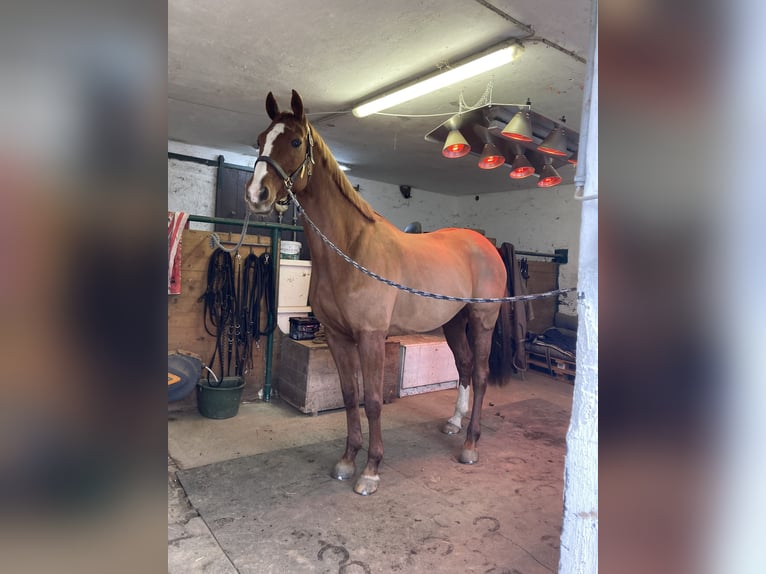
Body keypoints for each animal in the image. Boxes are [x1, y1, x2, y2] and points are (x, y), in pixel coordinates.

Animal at [246, 90, 508, 496]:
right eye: (260, 140)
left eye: (295, 142)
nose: (257, 195)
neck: (350, 249)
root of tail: (485, 246)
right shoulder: (338, 337)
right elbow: (350, 396)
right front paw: (347, 460)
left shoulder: (371, 338)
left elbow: (371, 401)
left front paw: (370, 470)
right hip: (454, 323)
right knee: (464, 367)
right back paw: (454, 423)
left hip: (482, 321)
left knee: (480, 375)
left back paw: (470, 445)